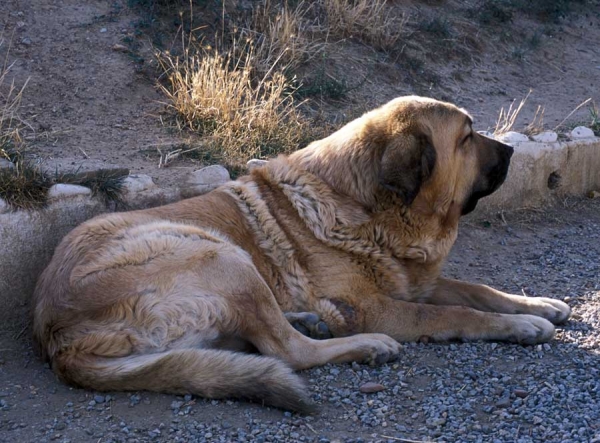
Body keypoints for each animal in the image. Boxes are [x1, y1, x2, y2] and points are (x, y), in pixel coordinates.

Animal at [31, 96, 572, 412]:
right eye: (467, 137)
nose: (512, 152)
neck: (366, 204)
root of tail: (58, 338)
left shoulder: (415, 280)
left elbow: (476, 289)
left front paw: (538, 304)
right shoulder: (374, 306)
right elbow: (458, 313)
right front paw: (522, 326)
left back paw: (307, 321)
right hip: (219, 255)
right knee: (287, 351)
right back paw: (363, 345)